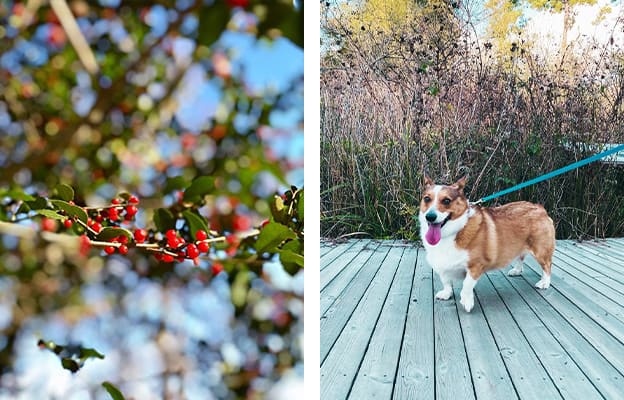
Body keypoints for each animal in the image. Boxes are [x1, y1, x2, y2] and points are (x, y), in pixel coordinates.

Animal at [420, 175, 556, 312]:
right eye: (427, 199)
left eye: (446, 201)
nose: (430, 217)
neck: (453, 232)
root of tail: (540, 208)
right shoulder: (442, 265)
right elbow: (446, 282)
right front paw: (446, 294)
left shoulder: (476, 266)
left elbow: (467, 284)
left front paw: (467, 302)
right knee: (521, 257)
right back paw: (517, 271)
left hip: (541, 251)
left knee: (547, 266)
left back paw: (544, 283)